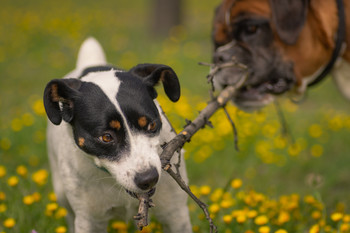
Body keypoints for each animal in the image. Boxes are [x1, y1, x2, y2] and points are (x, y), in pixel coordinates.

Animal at [43, 37, 193, 232]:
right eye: (106, 137)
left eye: (152, 125)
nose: (149, 179)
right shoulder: (90, 220)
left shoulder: (175, 214)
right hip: (62, 193)